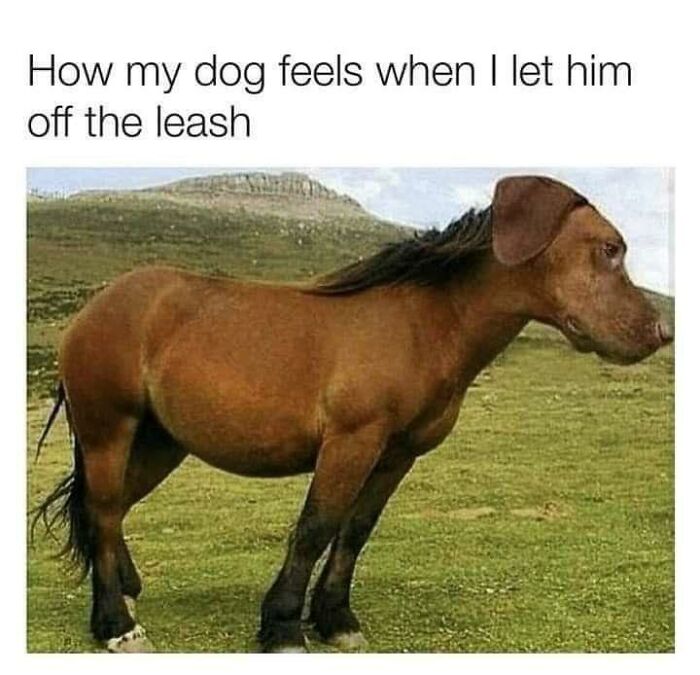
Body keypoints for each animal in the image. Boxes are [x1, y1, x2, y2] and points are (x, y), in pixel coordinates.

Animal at [32, 175, 673, 653]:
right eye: (609, 249)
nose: (661, 332)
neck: (421, 325)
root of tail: (98, 306)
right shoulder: (351, 442)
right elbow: (316, 527)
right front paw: (283, 626)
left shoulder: (397, 454)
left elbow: (356, 529)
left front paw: (335, 618)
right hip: (108, 431)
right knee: (105, 511)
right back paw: (117, 626)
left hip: (161, 442)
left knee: (107, 512)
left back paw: (122, 598)